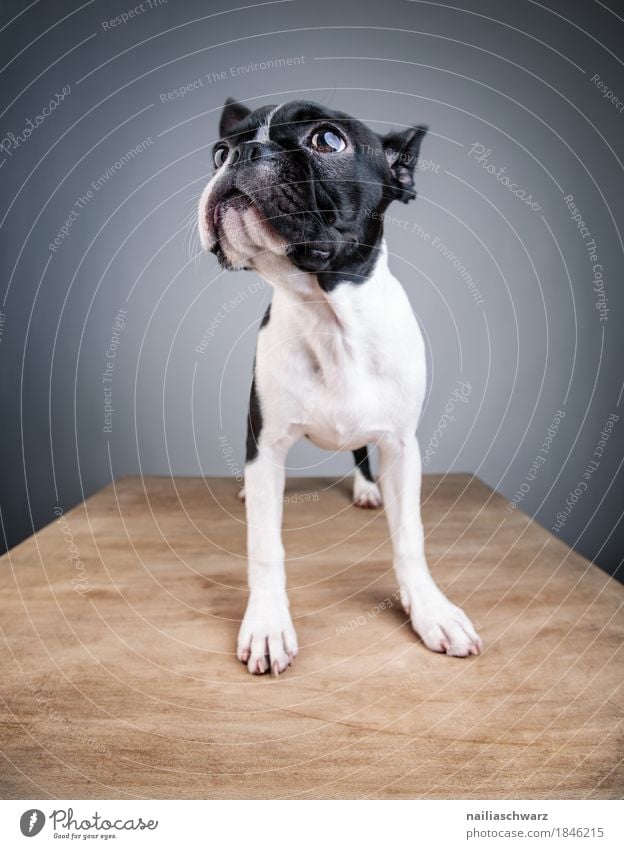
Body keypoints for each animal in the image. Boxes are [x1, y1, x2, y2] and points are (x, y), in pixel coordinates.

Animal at [197, 96, 480, 676]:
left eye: (328, 141)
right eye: (217, 152)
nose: (242, 153)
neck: (327, 316)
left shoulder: (401, 447)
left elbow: (410, 538)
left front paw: (431, 610)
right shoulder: (266, 444)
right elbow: (265, 546)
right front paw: (267, 624)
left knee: (360, 455)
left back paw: (367, 489)